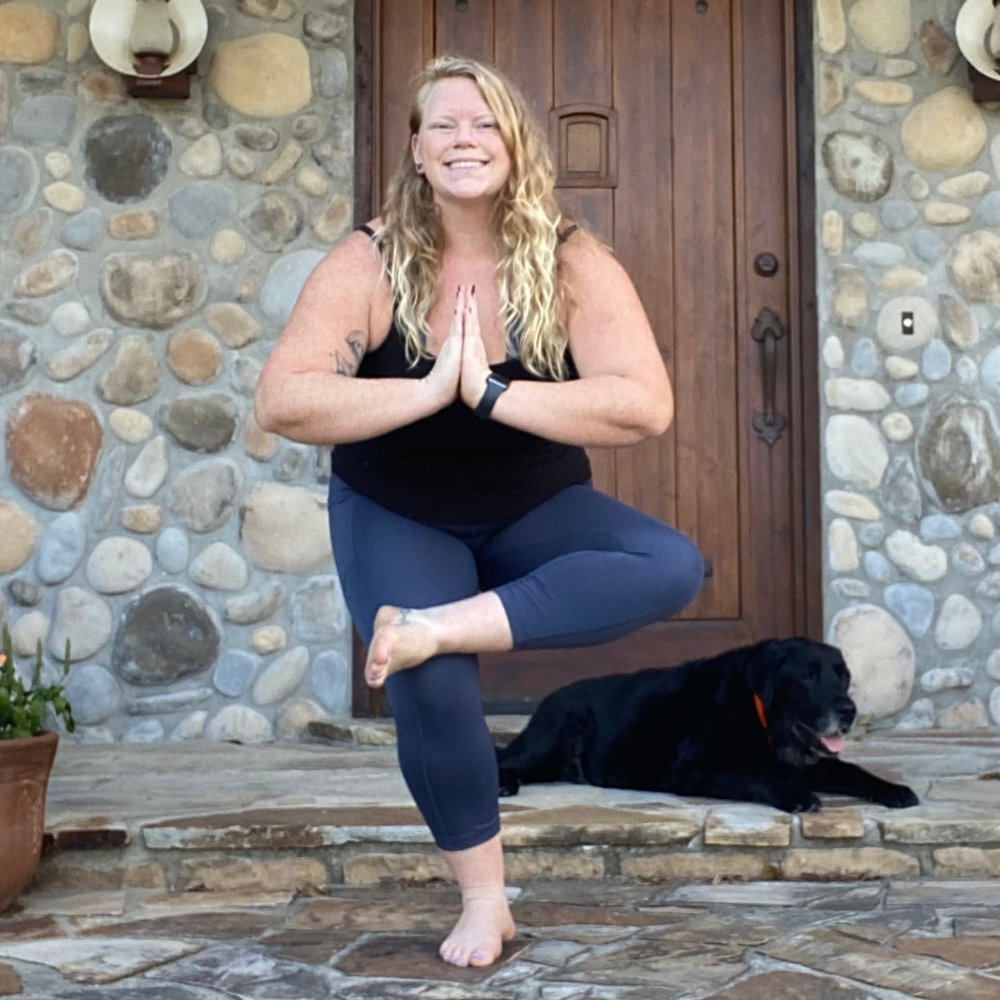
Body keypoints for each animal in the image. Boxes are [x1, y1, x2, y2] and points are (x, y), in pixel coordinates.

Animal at [496, 640, 916, 812]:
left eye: (842, 675)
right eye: (808, 677)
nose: (848, 710)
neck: (761, 718)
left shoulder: (822, 764)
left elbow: (858, 772)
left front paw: (894, 790)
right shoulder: (696, 770)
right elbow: (758, 777)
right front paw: (795, 795)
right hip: (554, 732)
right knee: (505, 762)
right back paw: (504, 784)